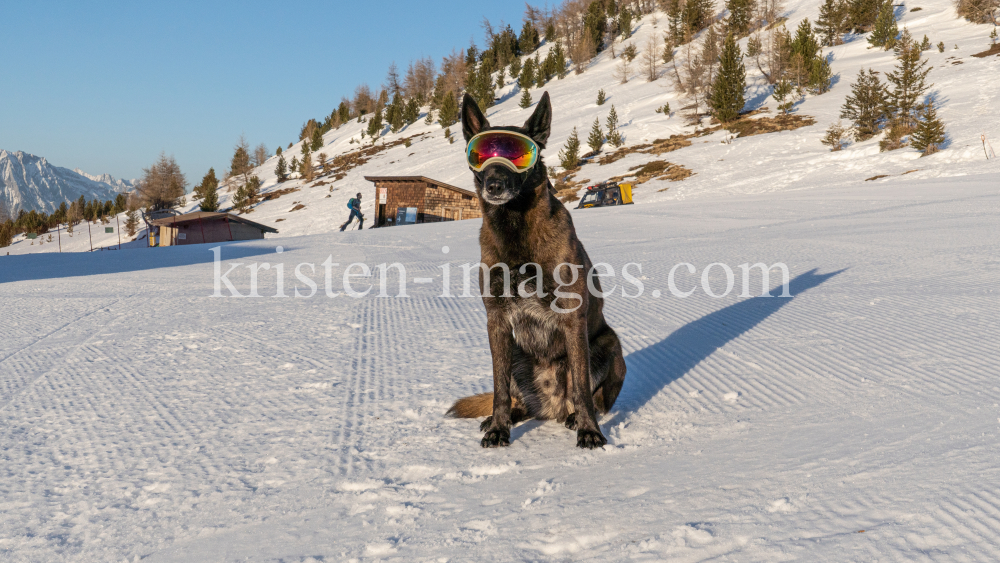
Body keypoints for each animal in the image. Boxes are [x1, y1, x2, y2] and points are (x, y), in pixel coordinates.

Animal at [450, 93, 628, 450]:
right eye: (481, 155)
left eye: (519, 155)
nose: (494, 184)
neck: (516, 232)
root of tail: (550, 408)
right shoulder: (496, 321)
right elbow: (499, 390)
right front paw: (498, 428)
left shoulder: (573, 318)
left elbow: (582, 387)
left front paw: (589, 431)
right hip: (517, 356)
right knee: (514, 398)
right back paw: (505, 417)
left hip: (608, 344)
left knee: (591, 397)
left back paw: (575, 418)